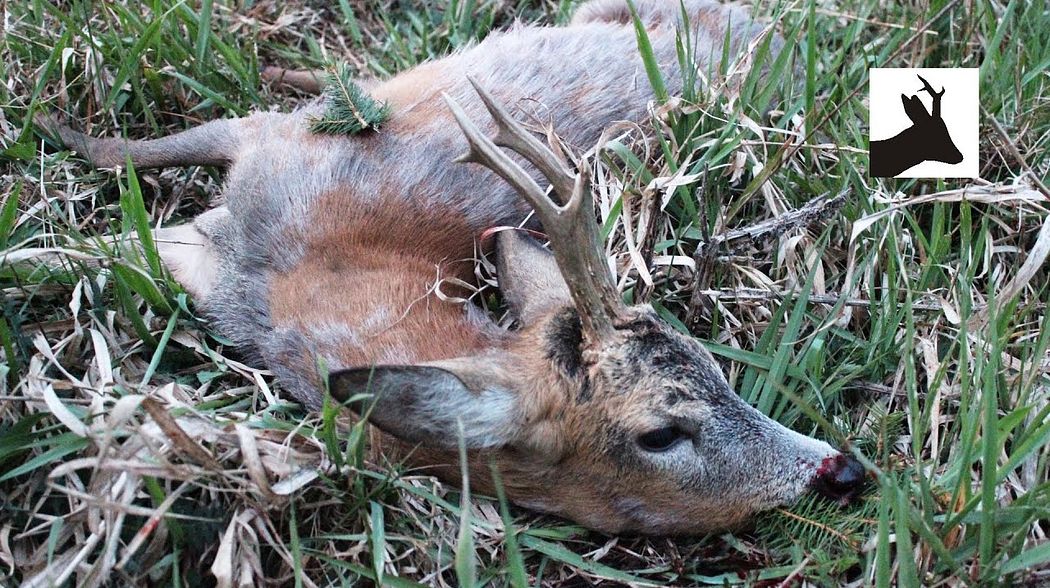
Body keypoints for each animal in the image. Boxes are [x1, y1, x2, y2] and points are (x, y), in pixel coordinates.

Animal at [38, 0, 860, 533]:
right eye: (661, 433)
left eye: (719, 369)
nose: (842, 469)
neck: (309, 281)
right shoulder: (263, 155)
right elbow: (121, 161)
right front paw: (54, 126)